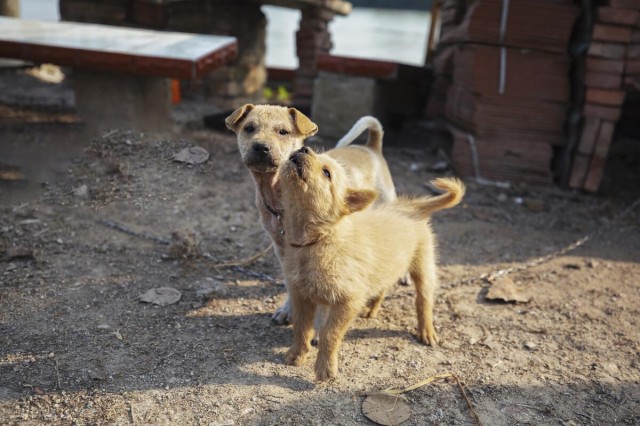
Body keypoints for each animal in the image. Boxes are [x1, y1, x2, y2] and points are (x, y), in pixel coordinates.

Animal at [224, 105, 396, 324]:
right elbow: (290, 281)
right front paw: (289, 310)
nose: (261, 147)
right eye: (249, 128)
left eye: (283, 132)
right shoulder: (281, 248)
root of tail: (372, 148)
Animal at [278, 147, 462, 382]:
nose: (303, 148)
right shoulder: (300, 295)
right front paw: (298, 354)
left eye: (327, 173)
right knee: (383, 286)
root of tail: (410, 207)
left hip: (423, 266)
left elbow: (329, 334)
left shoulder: (348, 300)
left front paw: (325, 368)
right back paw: (372, 309)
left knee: (423, 301)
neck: (317, 240)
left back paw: (427, 331)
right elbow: (301, 327)